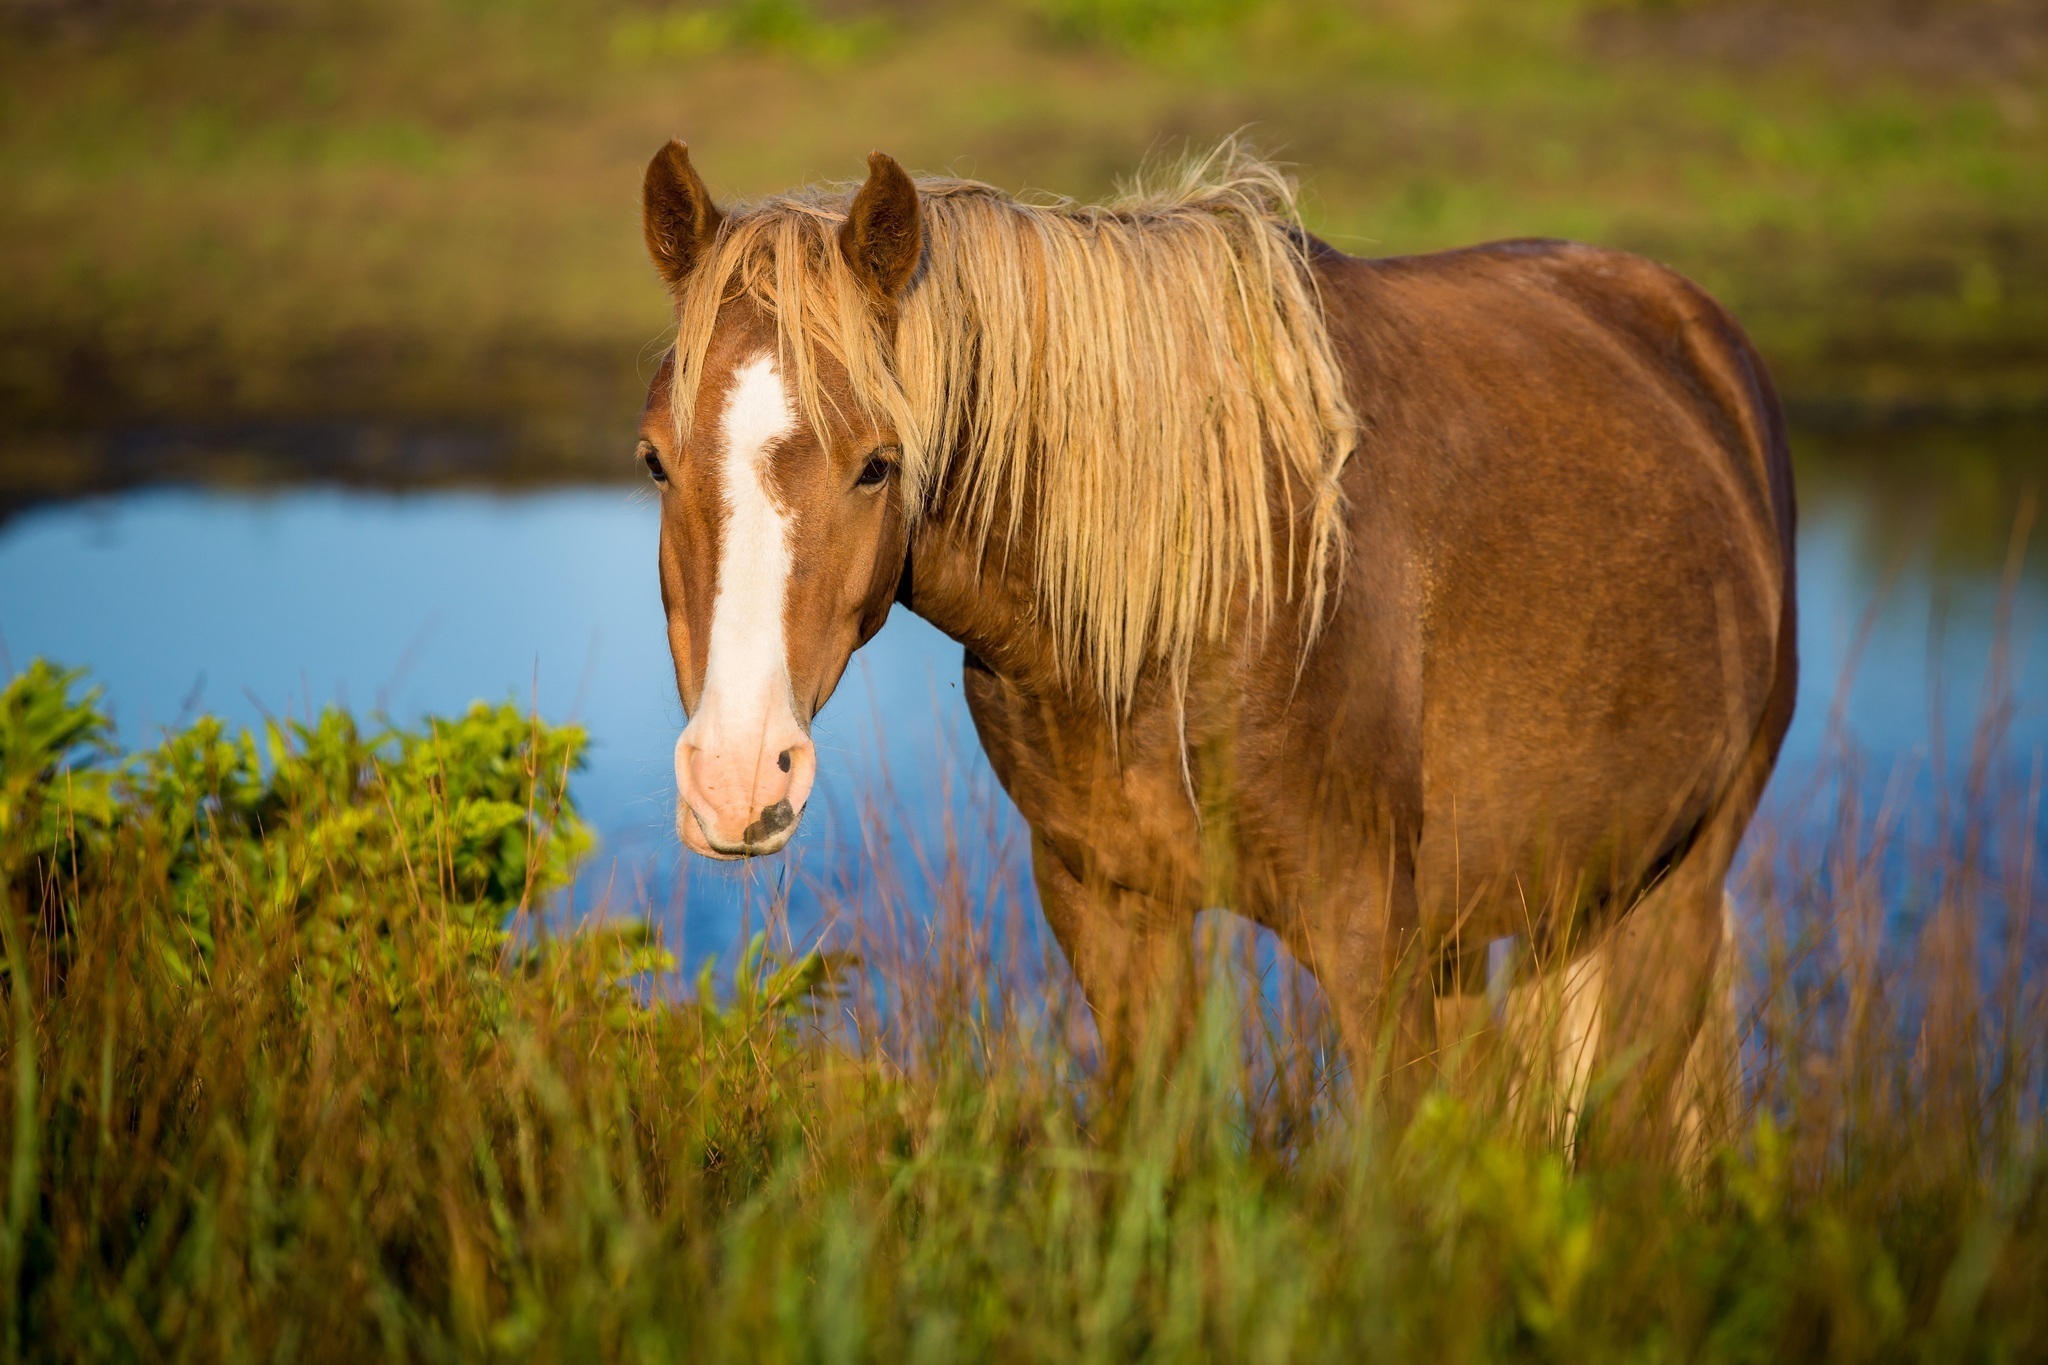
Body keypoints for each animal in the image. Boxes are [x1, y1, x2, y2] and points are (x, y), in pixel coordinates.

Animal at [634, 141, 1794, 1154]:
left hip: (1674, 893)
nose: (738, 779)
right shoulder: (1111, 910)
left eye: (878, 463)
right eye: (653, 460)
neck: (1190, 607)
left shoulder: (1365, 935)